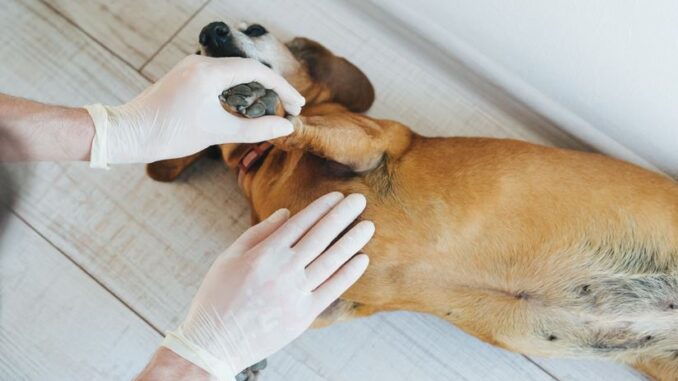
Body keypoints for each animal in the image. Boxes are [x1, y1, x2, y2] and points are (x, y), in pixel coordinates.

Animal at [149, 21, 678, 380]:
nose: (211, 30)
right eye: (196, 51)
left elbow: (299, 127)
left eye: (256, 29)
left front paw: (264, 108)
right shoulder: (333, 294)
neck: (264, 166)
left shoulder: (365, 143)